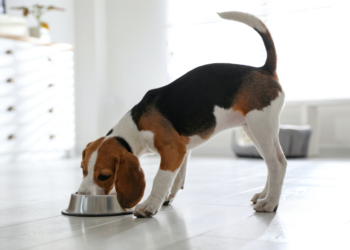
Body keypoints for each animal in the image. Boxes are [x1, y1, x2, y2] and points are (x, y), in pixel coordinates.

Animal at [78, 12, 288, 219]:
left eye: (104, 176)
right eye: (83, 169)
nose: (82, 194)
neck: (135, 126)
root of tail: (264, 69)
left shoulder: (173, 150)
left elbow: (160, 179)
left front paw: (149, 205)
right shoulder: (182, 150)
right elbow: (177, 178)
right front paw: (166, 198)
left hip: (260, 125)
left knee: (277, 164)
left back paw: (269, 203)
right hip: (254, 130)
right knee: (274, 162)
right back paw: (264, 195)